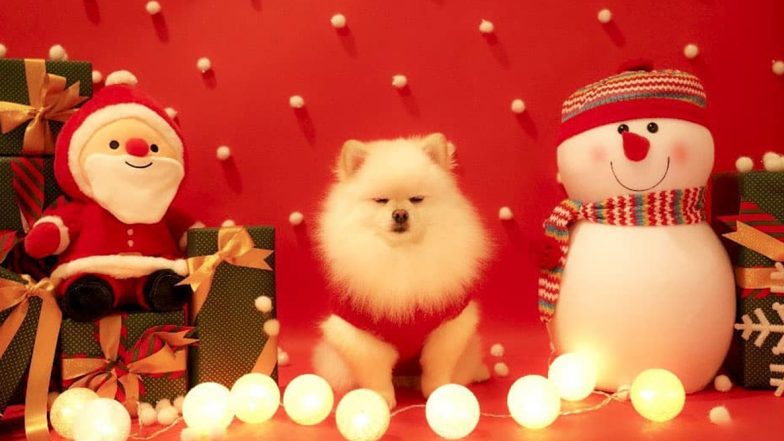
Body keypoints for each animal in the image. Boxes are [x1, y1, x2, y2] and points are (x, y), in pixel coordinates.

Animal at [314, 132, 490, 408]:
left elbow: (437, 365)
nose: (400, 214)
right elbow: (375, 373)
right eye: (381, 200)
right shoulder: (361, 337)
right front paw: (381, 398)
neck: (402, 255)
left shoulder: (448, 328)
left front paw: (438, 392)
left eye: (417, 199)